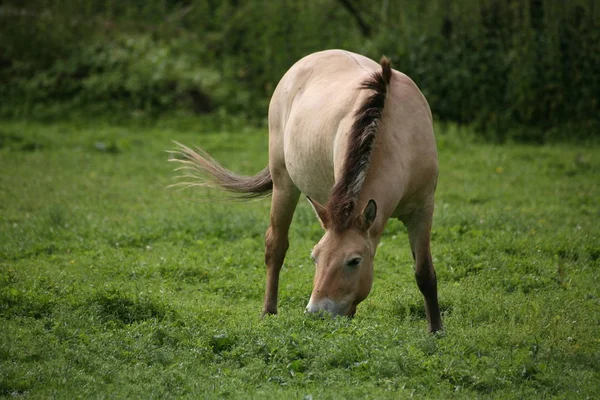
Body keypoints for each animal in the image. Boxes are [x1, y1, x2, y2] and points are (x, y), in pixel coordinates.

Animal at [171, 49, 442, 332]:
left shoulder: (423, 209)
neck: (397, 133)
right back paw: (269, 312)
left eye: (354, 261)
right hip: (284, 184)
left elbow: (424, 273)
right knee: (276, 246)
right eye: (315, 258)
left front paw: (436, 331)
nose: (316, 312)